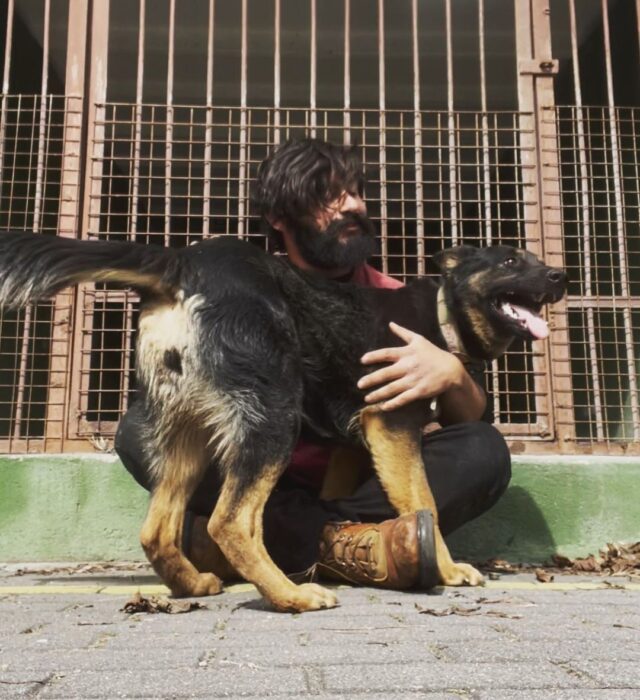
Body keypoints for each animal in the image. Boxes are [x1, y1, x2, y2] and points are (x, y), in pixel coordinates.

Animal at [0, 232, 568, 608]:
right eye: (511, 259)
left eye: (536, 258)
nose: (561, 276)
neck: (445, 312)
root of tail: (183, 262)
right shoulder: (392, 423)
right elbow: (422, 500)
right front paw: (448, 570)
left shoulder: (356, 440)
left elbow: (338, 496)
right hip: (272, 413)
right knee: (232, 520)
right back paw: (291, 595)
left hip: (187, 429)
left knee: (157, 529)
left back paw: (195, 583)